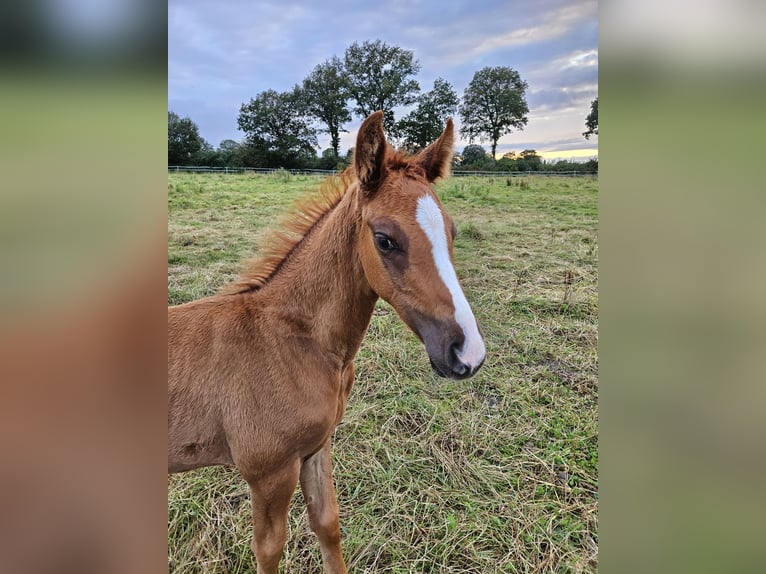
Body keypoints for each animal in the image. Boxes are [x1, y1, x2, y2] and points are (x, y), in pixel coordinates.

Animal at [168, 110, 486, 572]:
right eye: (385, 240)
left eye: (452, 232)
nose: (468, 352)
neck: (293, 341)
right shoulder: (269, 473)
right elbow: (269, 549)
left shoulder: (317, 448)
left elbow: (327, 524)